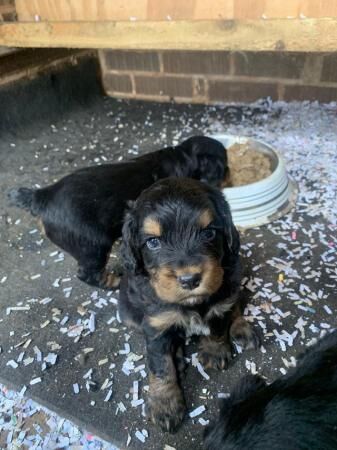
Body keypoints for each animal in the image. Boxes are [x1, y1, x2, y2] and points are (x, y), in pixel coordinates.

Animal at [7, 135, 226, 288]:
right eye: (224, 167)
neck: (182, 156)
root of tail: (41, 196)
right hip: (93, 245)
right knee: (88, 274)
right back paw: (114, 282)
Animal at [118, 177, 258, 432]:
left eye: (209, 233)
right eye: (153, 242)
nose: (190, 279)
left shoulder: (220, 302)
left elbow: (217, 326)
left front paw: (214, 351)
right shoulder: (156, 324)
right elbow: (161, 366)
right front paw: (165, 405)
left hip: (234, 277)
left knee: (236, 304)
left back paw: (242, 328)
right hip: (128, 313)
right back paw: (179, 357)